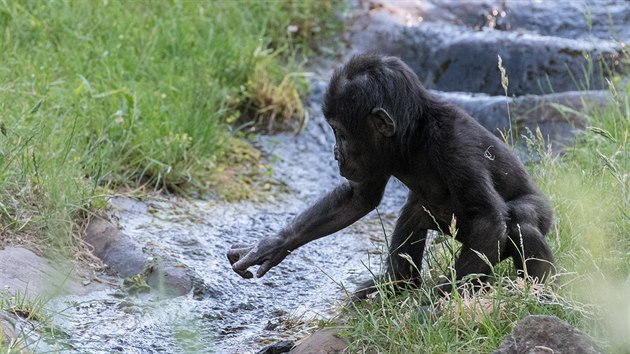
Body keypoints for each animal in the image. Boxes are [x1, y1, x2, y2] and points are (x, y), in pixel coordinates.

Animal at [226, 52, 552, 298]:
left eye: (341, 133)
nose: (336, 153)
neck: (415, 135)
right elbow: (358, 197)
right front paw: (272, 245)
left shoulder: (455, 145)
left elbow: (487, 218)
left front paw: (442, 301)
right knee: (417, 211)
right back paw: (398, 283)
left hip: (543, 214)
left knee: (520, 222)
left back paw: (543, 285)